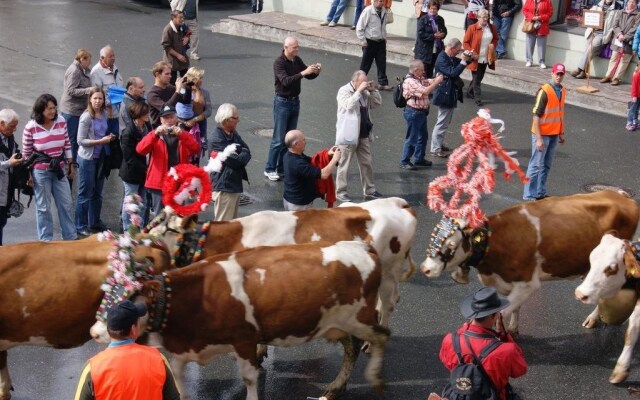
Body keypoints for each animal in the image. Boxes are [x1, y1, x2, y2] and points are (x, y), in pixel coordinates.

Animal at [92, 241, 388, 400]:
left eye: (129, 299)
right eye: (106, 293)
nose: (95, 332)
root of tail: (362, 246)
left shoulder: (244, 338)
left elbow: (249, 378)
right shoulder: (181, 350)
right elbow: (178, 381)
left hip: (359, 318)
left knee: (381, 335)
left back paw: (374, 378)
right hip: (336, 324)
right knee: (351, 349)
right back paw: (337, 387)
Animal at [422, 192, 636, 332]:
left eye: (451, 245)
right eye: (433, 236)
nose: (425, 269)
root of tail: (622, 196)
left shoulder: (528, 283)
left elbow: (502, 313)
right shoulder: (510, 283)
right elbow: (514, 308)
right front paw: (513, 330)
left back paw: (592, 319)